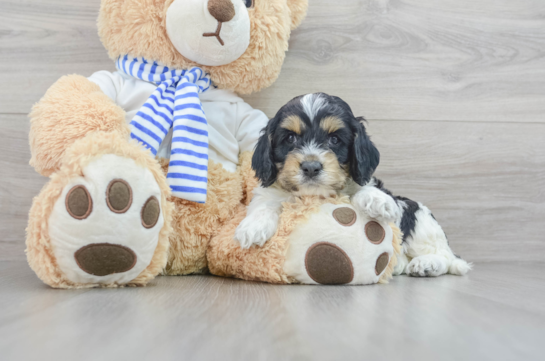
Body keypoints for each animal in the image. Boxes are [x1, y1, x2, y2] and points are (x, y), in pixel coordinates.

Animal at [235, 92, 472, 276]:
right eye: (291, 138)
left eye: (334, 139)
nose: (311, 167)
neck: (316, 195)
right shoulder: (271, 191)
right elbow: (264, 203)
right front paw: (252, 227)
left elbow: (363, 188)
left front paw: (377, 200)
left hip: (420, 221)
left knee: (446, 257)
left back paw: (427, 264)